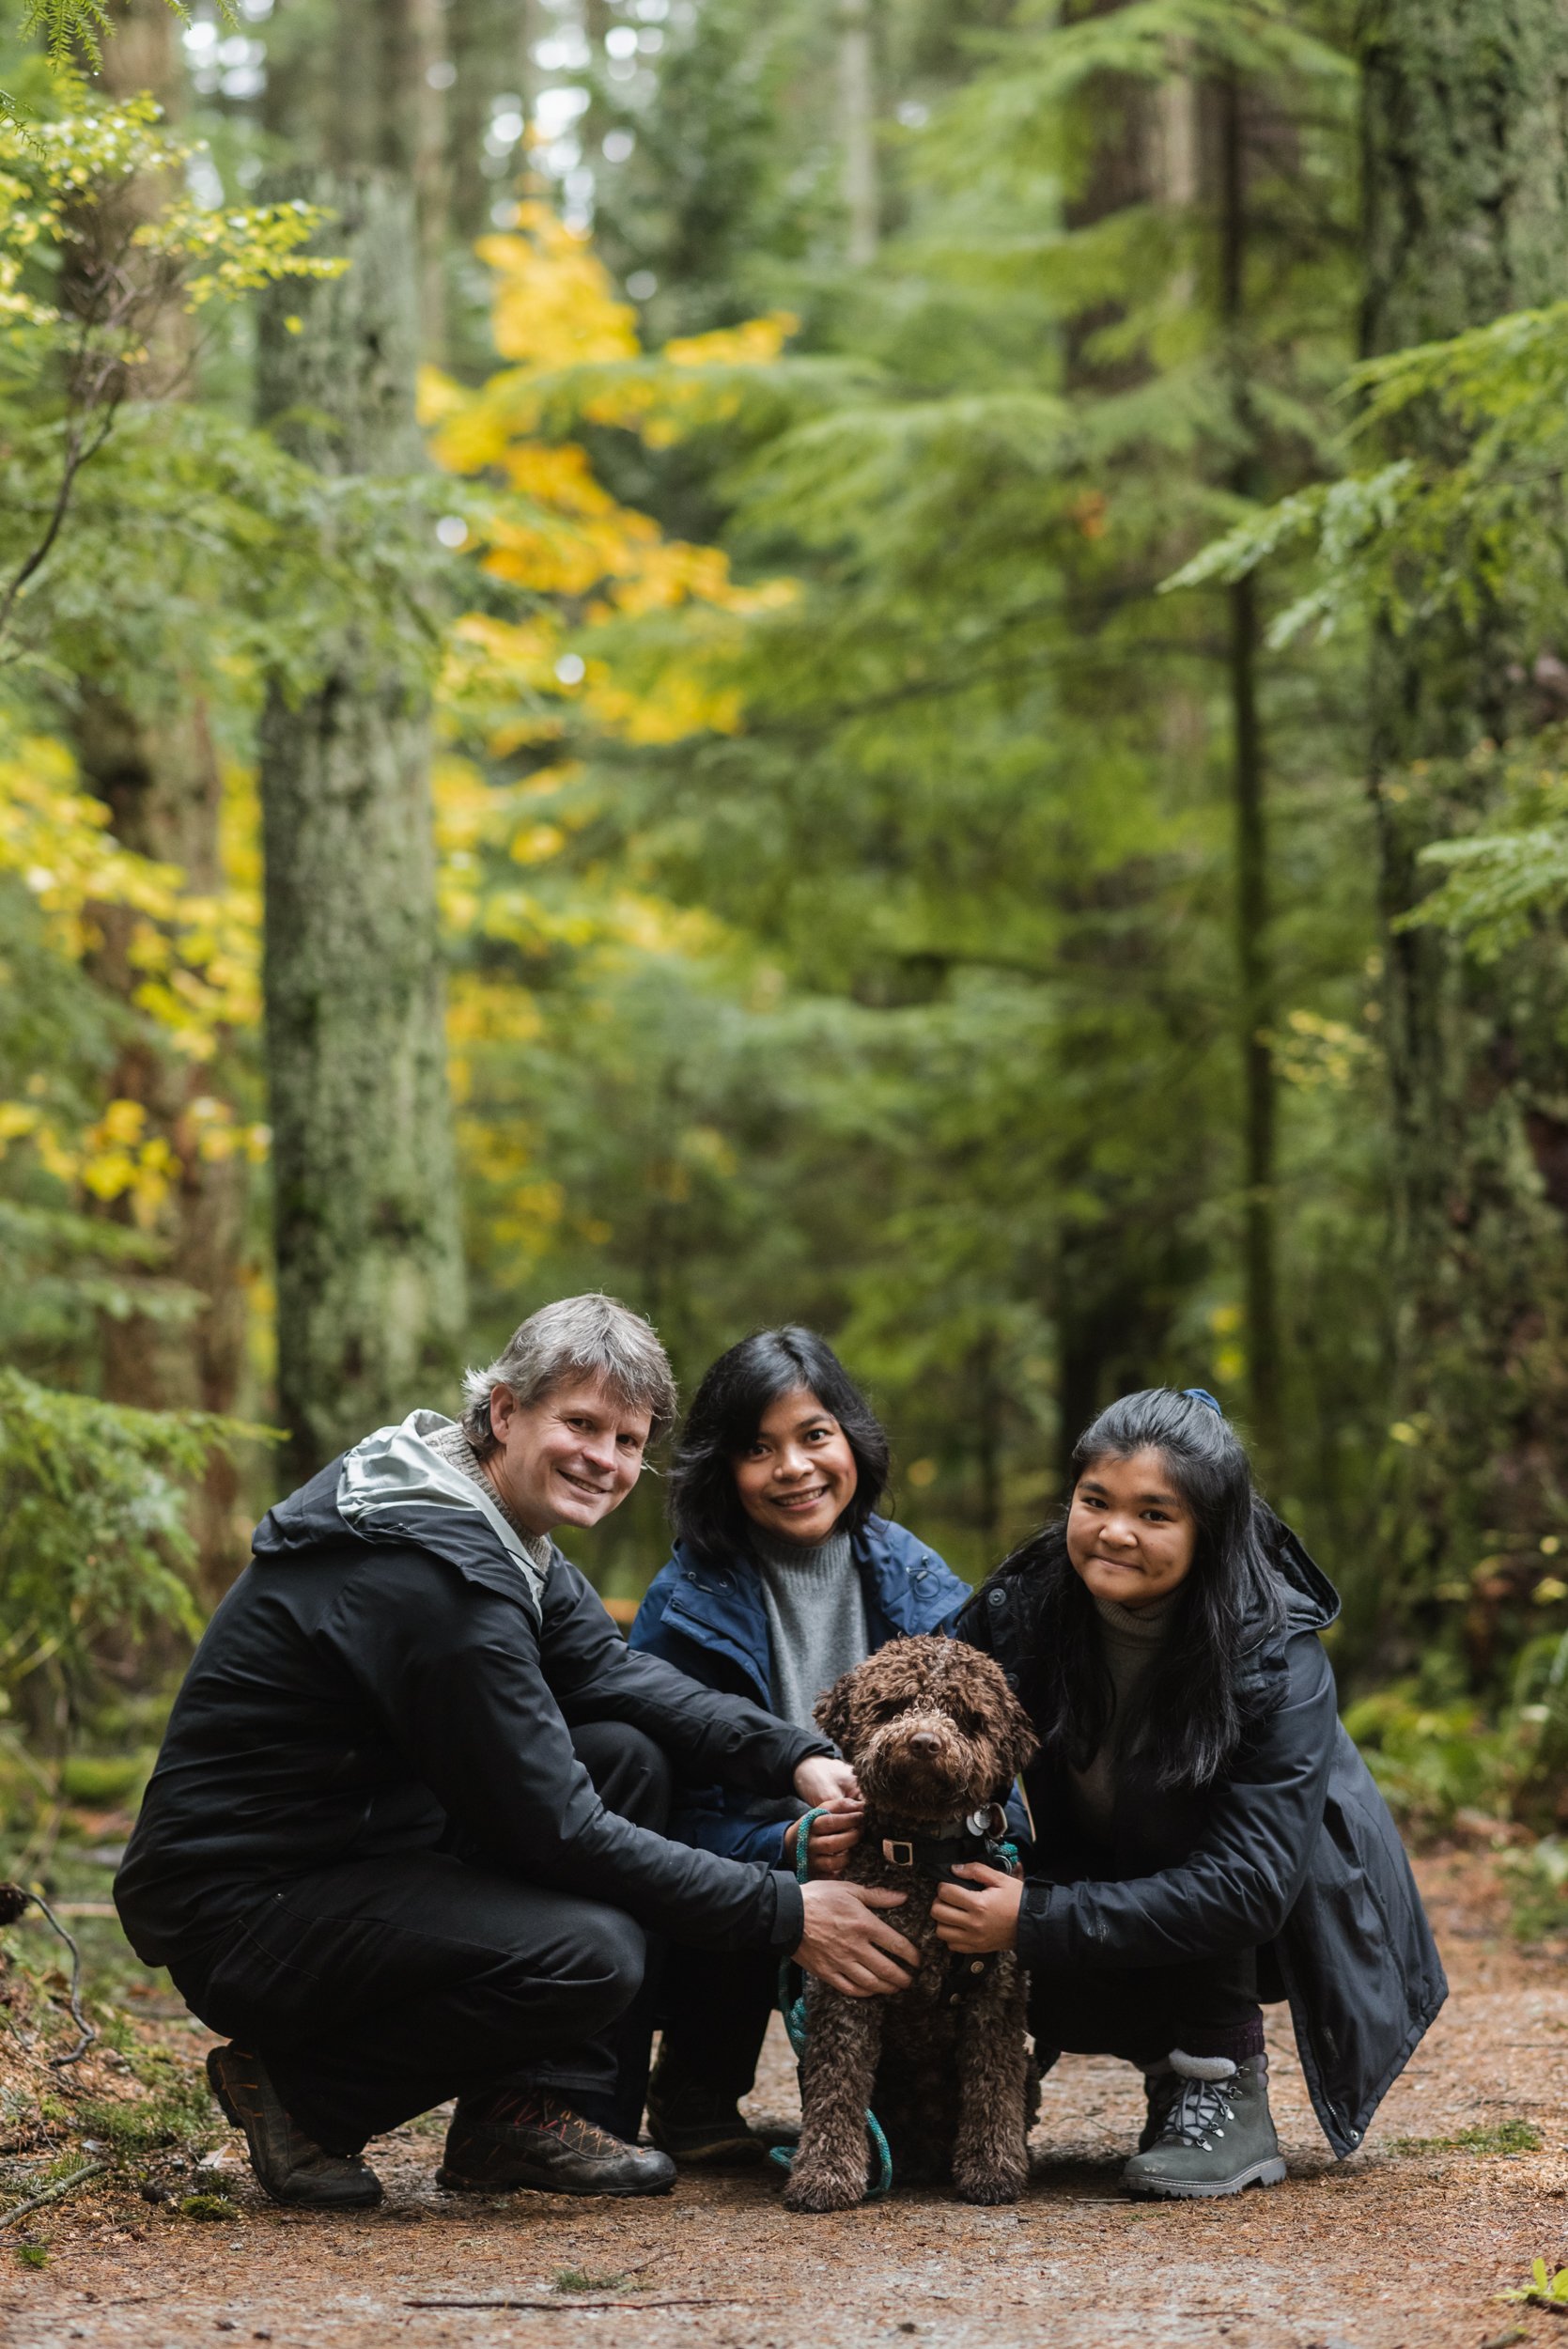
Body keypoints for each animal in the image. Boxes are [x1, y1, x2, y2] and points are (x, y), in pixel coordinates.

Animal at [788, 1644, 1032, 2208]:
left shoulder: (995, 1996)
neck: (923, 1857)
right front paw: (825, 2173)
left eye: (967, 1717)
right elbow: (837, 2088)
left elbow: (992, 2087)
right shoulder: (846, 1990)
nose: (924, 1743)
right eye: (894, 1705)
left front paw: (993, 2167)